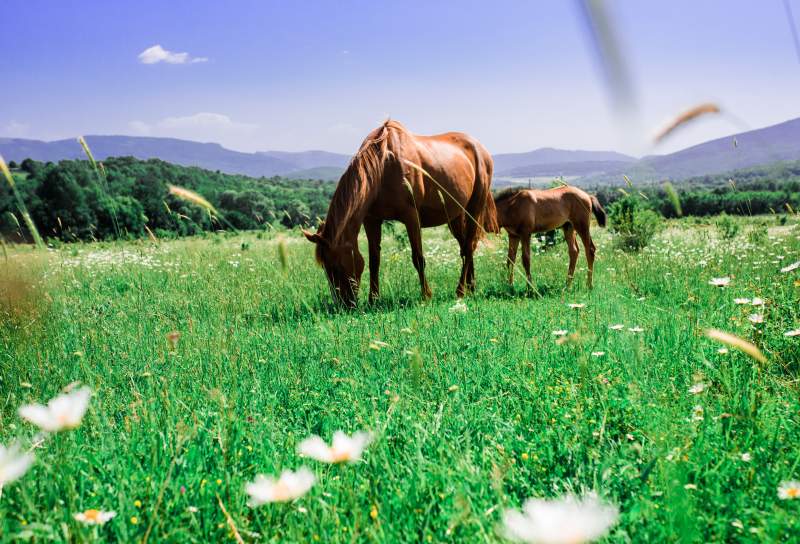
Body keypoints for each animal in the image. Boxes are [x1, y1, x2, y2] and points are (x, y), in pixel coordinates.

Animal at [304, 120, 496, 306]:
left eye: (336, 266)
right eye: (325, 268)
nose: (344, 304)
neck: (383, 165)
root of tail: (480, 148)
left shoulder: (411, 217)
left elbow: (418, 258)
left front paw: (426, 296)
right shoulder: (371, 220)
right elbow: (374, 260)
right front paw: (373, 299)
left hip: (474, 208)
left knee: (469, 245)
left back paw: (461, 290)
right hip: (455, 215)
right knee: (465, 247)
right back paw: (471, 287)